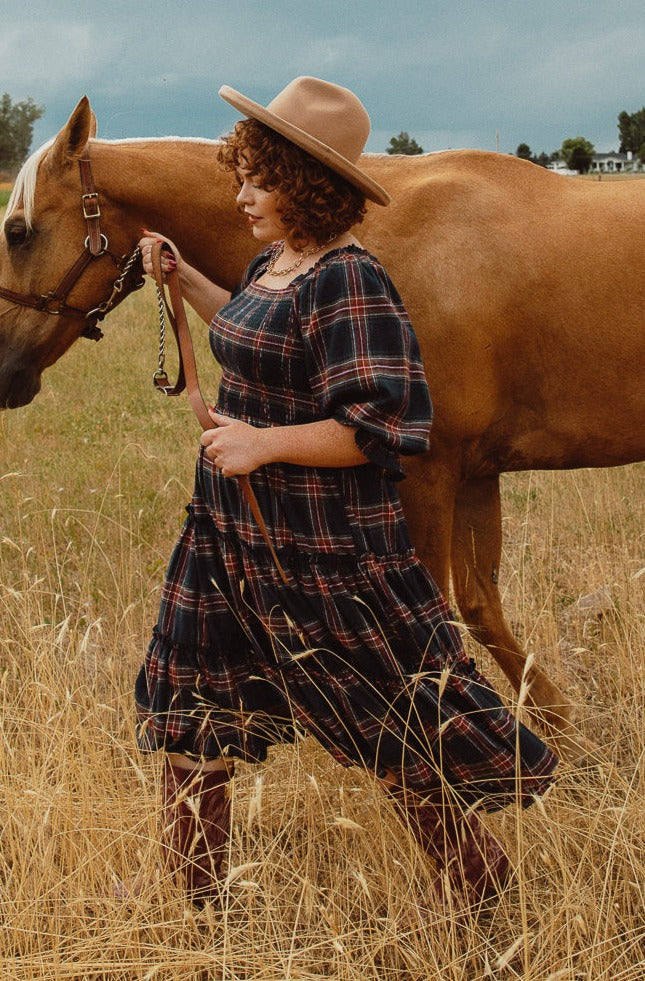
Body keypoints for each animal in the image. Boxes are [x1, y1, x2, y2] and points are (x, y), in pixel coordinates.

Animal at [0, 101, 640, 756]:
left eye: (17, 232)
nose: (1, 372)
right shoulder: (475, 476)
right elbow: (480, 606)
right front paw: (559, 728)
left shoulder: (427, 473)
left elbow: (434, 621)